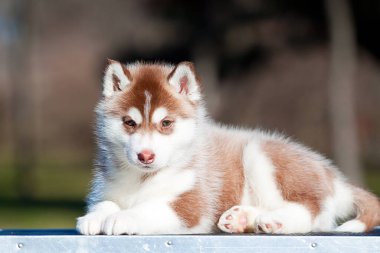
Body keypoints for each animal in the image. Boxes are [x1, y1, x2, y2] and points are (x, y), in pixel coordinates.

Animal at [75, 59, 378, 235]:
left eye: (166, 123)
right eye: (129, 122)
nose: (145, 156)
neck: (143, 179)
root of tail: (333, 176)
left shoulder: (192, 203)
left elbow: (150, 208)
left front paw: (124, 218)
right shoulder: (105, 188)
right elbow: (104, 203)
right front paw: (94, 218)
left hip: (260, 155)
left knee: (312, 211)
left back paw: (275, 221)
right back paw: (243, 219)